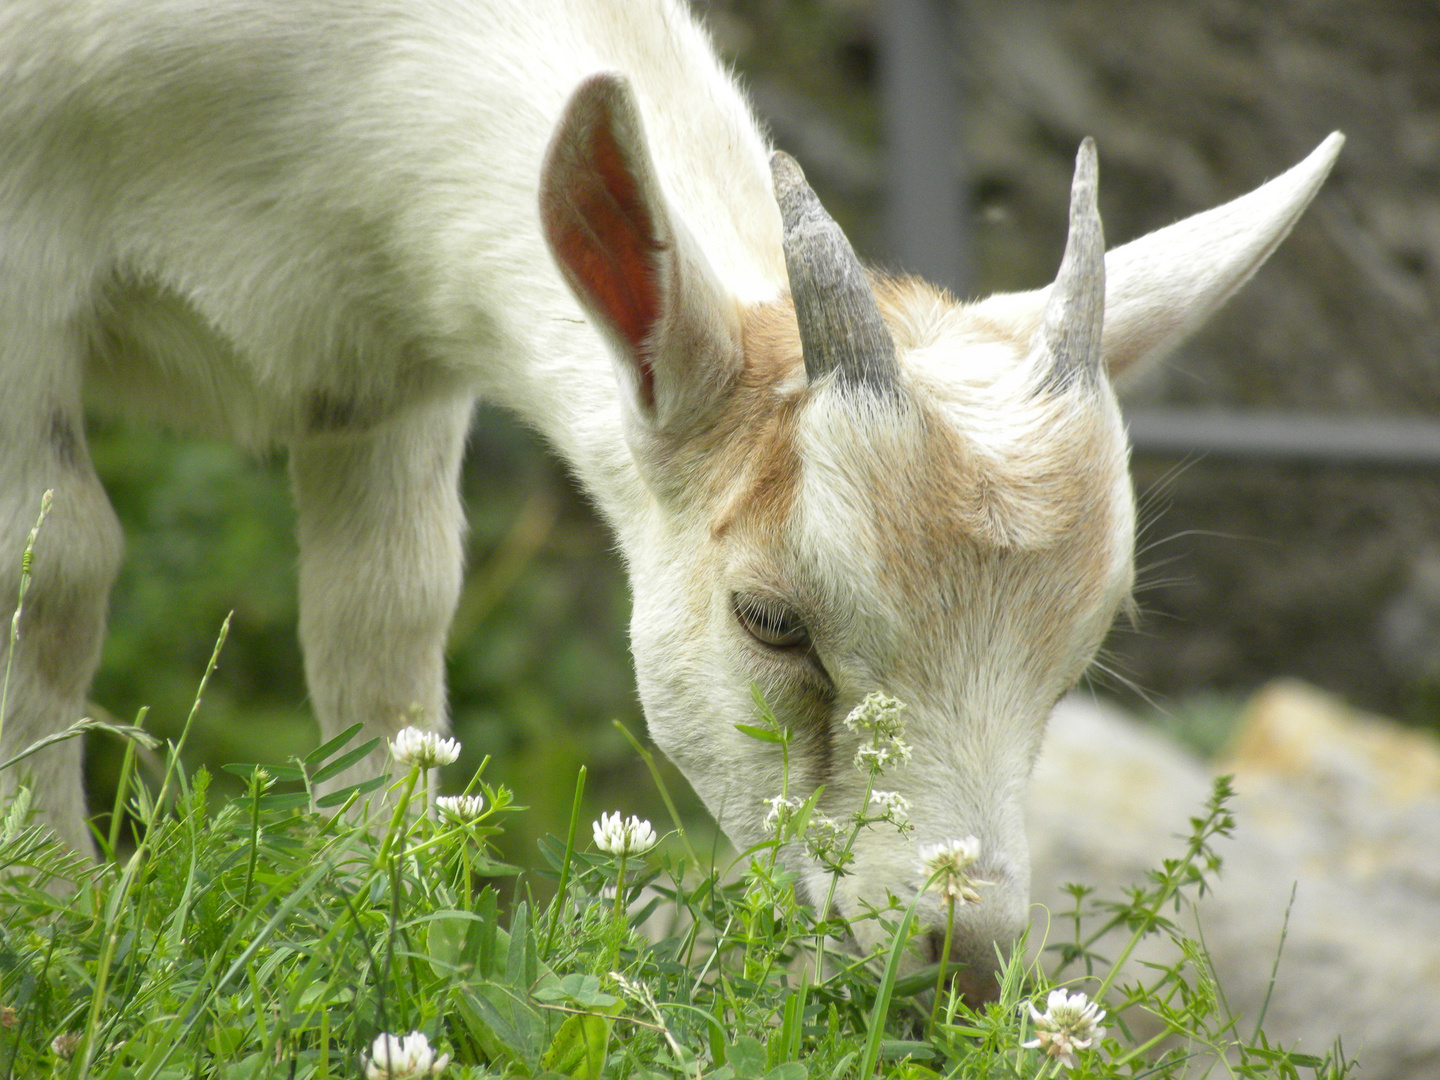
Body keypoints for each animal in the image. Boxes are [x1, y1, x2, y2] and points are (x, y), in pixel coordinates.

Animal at [0, 0, 1336, 1008]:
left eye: (1082, 654)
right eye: (772, 621)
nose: (956, 965)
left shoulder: (385, 367)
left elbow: (386, 624)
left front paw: (370, 922)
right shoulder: (26, 254)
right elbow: (55, 571)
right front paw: (60, 919)